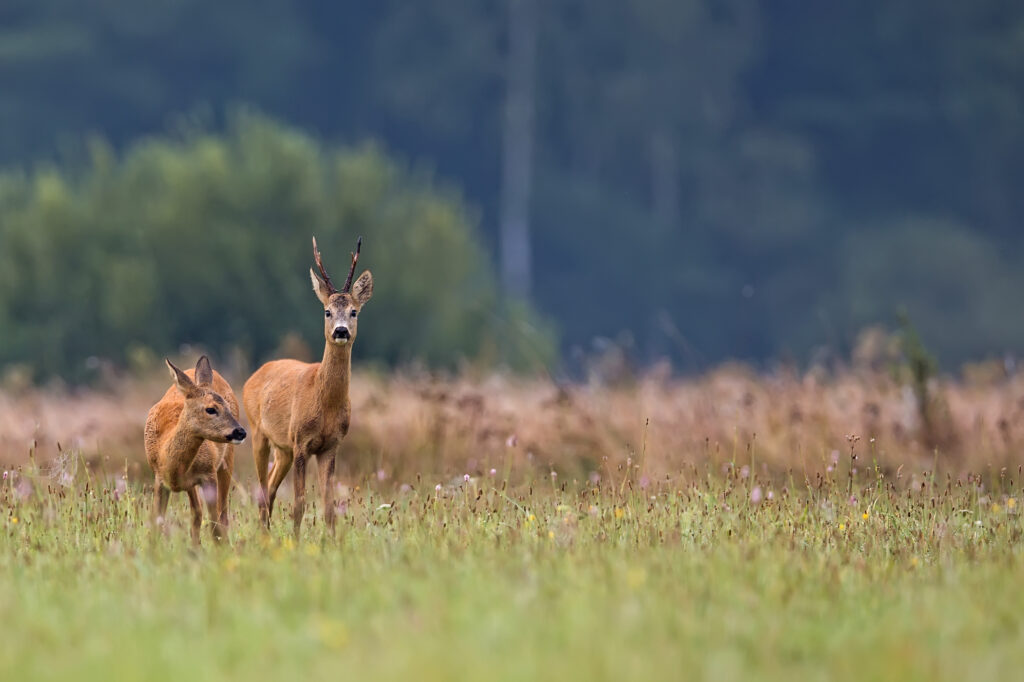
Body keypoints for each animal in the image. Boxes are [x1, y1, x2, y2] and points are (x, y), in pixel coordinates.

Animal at [144, 356, 246, 544]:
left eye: (227, 407)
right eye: (211, 409)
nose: (241, 432)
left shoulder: (208, 474)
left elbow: (214, 526)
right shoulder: (159, 478)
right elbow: (156, 523)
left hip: (226, 461)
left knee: (222, 514)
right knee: (197, 512)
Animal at [243, 236, 372, 537]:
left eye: (354, 311)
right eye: (327, 311)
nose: (340, 331)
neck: (323, 401)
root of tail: (254, 375)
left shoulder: (331, 445)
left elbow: (328, 506)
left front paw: (332, 542)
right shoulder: (301, 441)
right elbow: (300, 502)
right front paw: (296, 541)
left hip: (283, 449)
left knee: (270, 488)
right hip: (259, 433)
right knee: (262, 490)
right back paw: (264, 536)